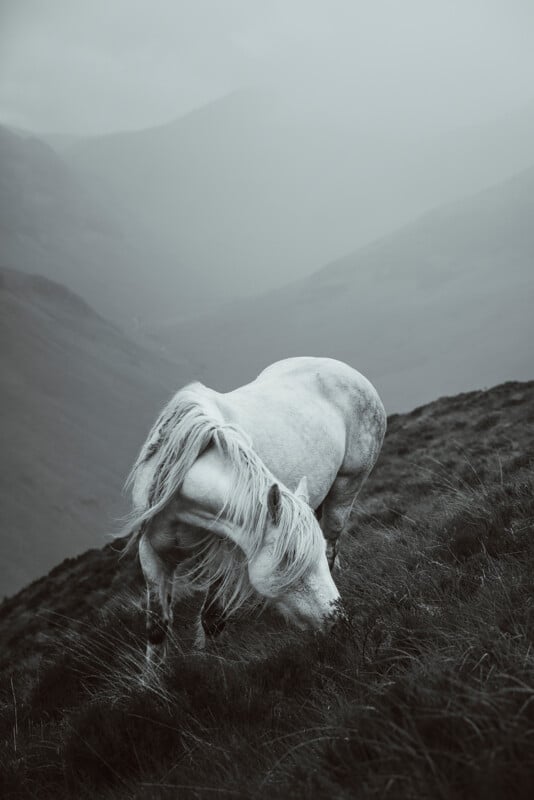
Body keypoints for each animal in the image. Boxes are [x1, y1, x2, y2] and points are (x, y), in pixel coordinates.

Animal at [124, 358, 386, 664]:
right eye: (288, 559)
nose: (339, 623)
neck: (182, 498)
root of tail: (343, 368)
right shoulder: (152, 552)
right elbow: (157, 627)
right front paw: (155, 676)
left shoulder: (228, 555)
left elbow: (213, 618)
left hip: (346, 489)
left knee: (333, 540)